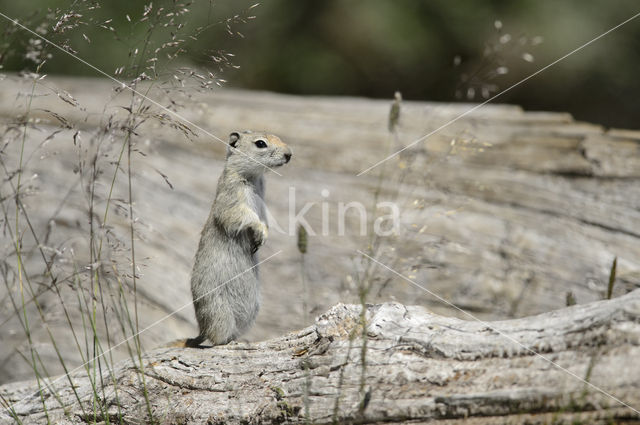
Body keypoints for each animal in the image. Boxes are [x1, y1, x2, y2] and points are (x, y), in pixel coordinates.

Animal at [184, 131, 292, 346]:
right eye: (261, 143)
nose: (289, 154)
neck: (254, 177)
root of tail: (202, 330)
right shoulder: (232, 196)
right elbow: (242, 215)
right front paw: (259, 232)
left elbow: (264, 219)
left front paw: (263, 237)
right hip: (220, 311)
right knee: (216, 338)